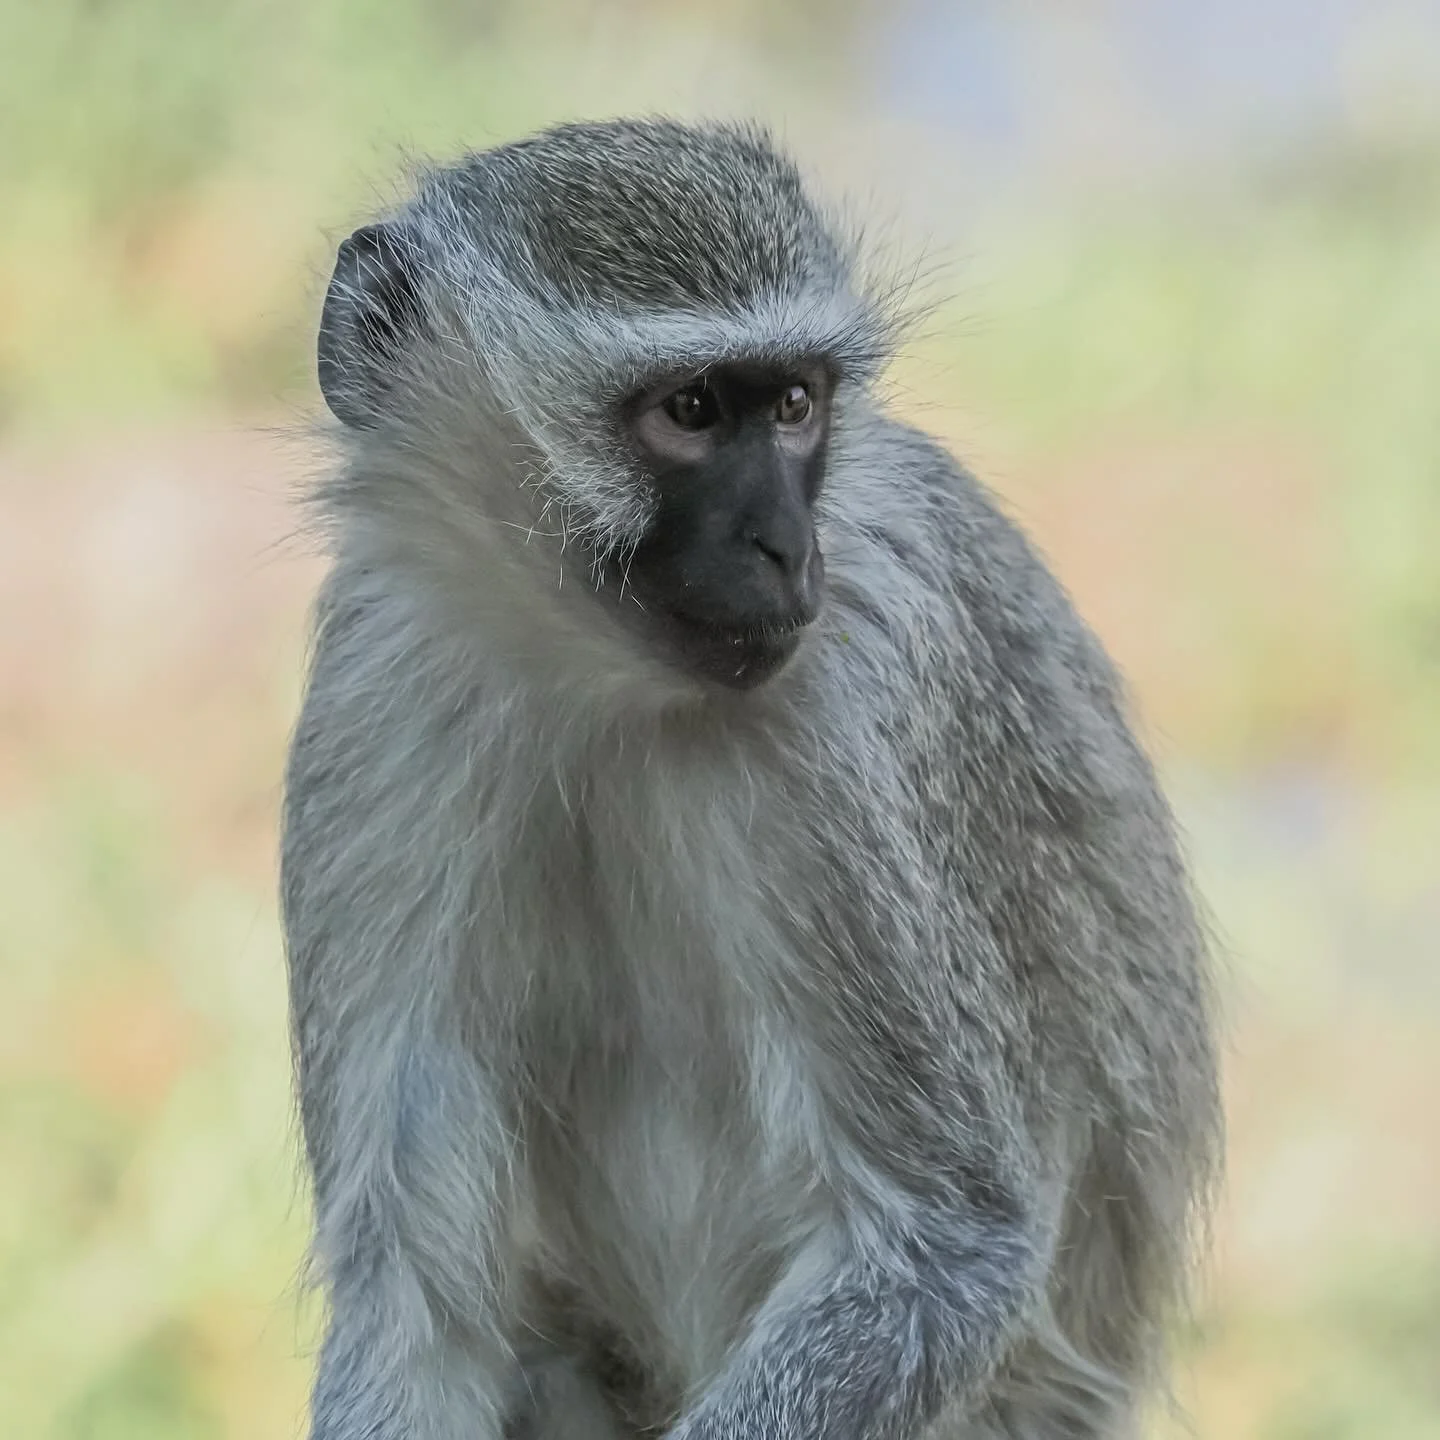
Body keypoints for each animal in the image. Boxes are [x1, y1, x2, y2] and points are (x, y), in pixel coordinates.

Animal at [283, 119, 1220, 1440]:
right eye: (689, 411)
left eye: (792, 405)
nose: (788, 548)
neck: (597, 685)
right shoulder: (375, 698)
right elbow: (415, 1297)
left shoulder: (844, 731)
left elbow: (945, 1248)